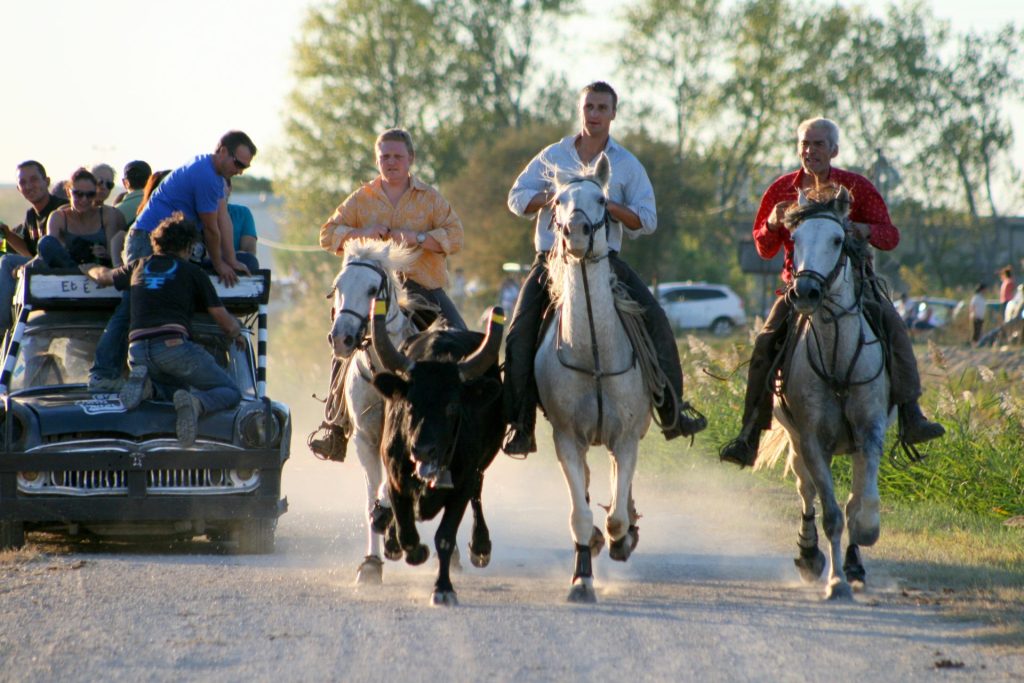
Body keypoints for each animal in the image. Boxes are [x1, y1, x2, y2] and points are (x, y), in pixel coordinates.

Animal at [329, 239, 421, 581]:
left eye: (372, 289)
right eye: (337, 286)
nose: (341, 338)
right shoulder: (365, 439)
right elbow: (373, 491)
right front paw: (371, 562)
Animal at [372, 301, 507, 606]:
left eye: (452, 406)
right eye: (409, 403)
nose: (422, 449)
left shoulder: (461, 485)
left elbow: (445, 537)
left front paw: (443, 588)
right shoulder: (396, 478)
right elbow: (406, 531)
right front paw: (410, 548)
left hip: (484, 460)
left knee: (478, 493)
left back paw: (480, 545)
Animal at [532, 154, 651, 602]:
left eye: (602, 200)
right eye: (558, 201)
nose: (576, 233)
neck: (595, 353)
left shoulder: (627, 437)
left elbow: (617, 512)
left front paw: (621, 538)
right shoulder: (567, 438)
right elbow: (580, 516)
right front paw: (582, 579)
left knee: (621, 487)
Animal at [770, 187, 892, 598]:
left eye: (838, 240)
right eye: (794, 239)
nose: (805, 291)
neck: (838, 355)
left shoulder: (870, 432)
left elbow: (860, 505)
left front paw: (863, 541)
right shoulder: (811, 440)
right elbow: (832, 515)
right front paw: (835, 582)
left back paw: (854, 563)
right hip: (794, 442)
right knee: (804, 488)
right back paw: (809, 556)